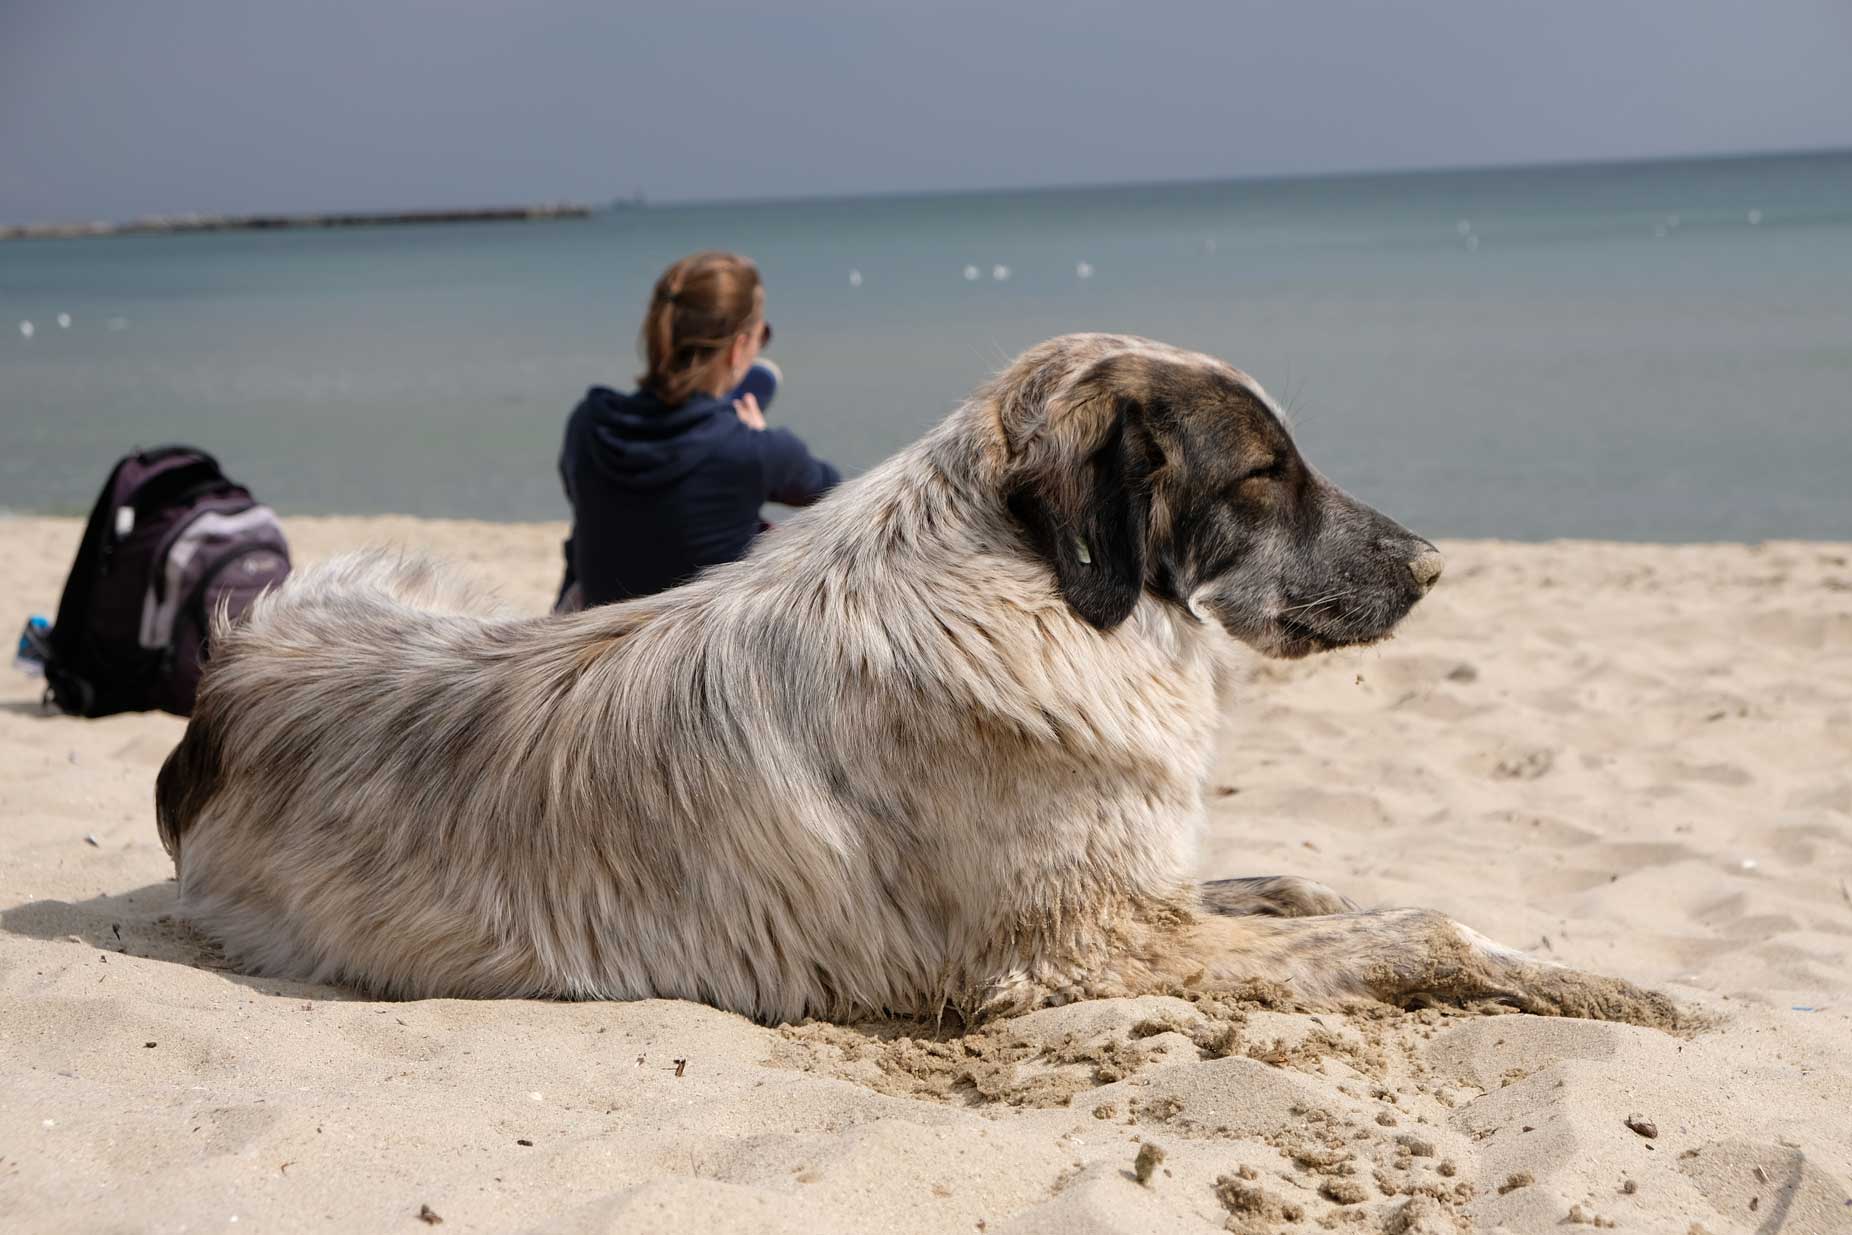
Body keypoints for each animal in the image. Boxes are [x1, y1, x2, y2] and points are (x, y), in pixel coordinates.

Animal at [155, 335, 1666, 1022]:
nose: (1436, 565)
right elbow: (1432, 929)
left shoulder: (1140, 892)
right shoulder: (1083, 949)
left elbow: (1301, 888)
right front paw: (1635, 993)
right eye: (1262, 474)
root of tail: (225, 685)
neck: (1038, 594)